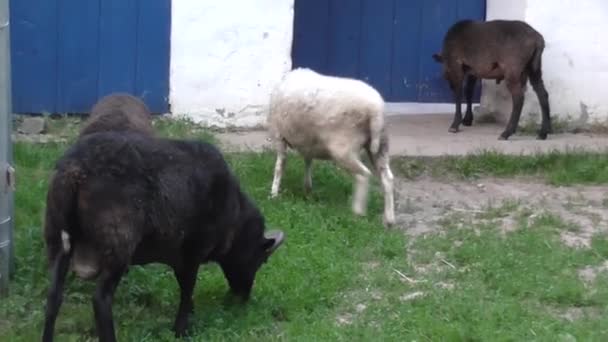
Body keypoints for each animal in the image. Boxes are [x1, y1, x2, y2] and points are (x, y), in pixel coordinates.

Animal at [42, 131, 284, 342]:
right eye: (261, 260)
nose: (243, 298)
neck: (235, 215)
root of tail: (75, 171)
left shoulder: (179, 257)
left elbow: (184, 287)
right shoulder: (193, 251)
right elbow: (187, 288)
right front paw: (181, 329)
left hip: (57, 239)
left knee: (53, 296)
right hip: (117, 244)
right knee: (101, 300)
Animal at [266, 67, 394, 227]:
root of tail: (376, 110)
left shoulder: (279, 136)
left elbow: (279, 165)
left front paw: (274, 193)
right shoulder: (308, 141)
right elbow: (308, 161)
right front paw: (307, 187)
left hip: (343, 148)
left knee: (363, 175)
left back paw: (358, 211)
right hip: (381, 144)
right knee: (387, 178)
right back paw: (389, 219)